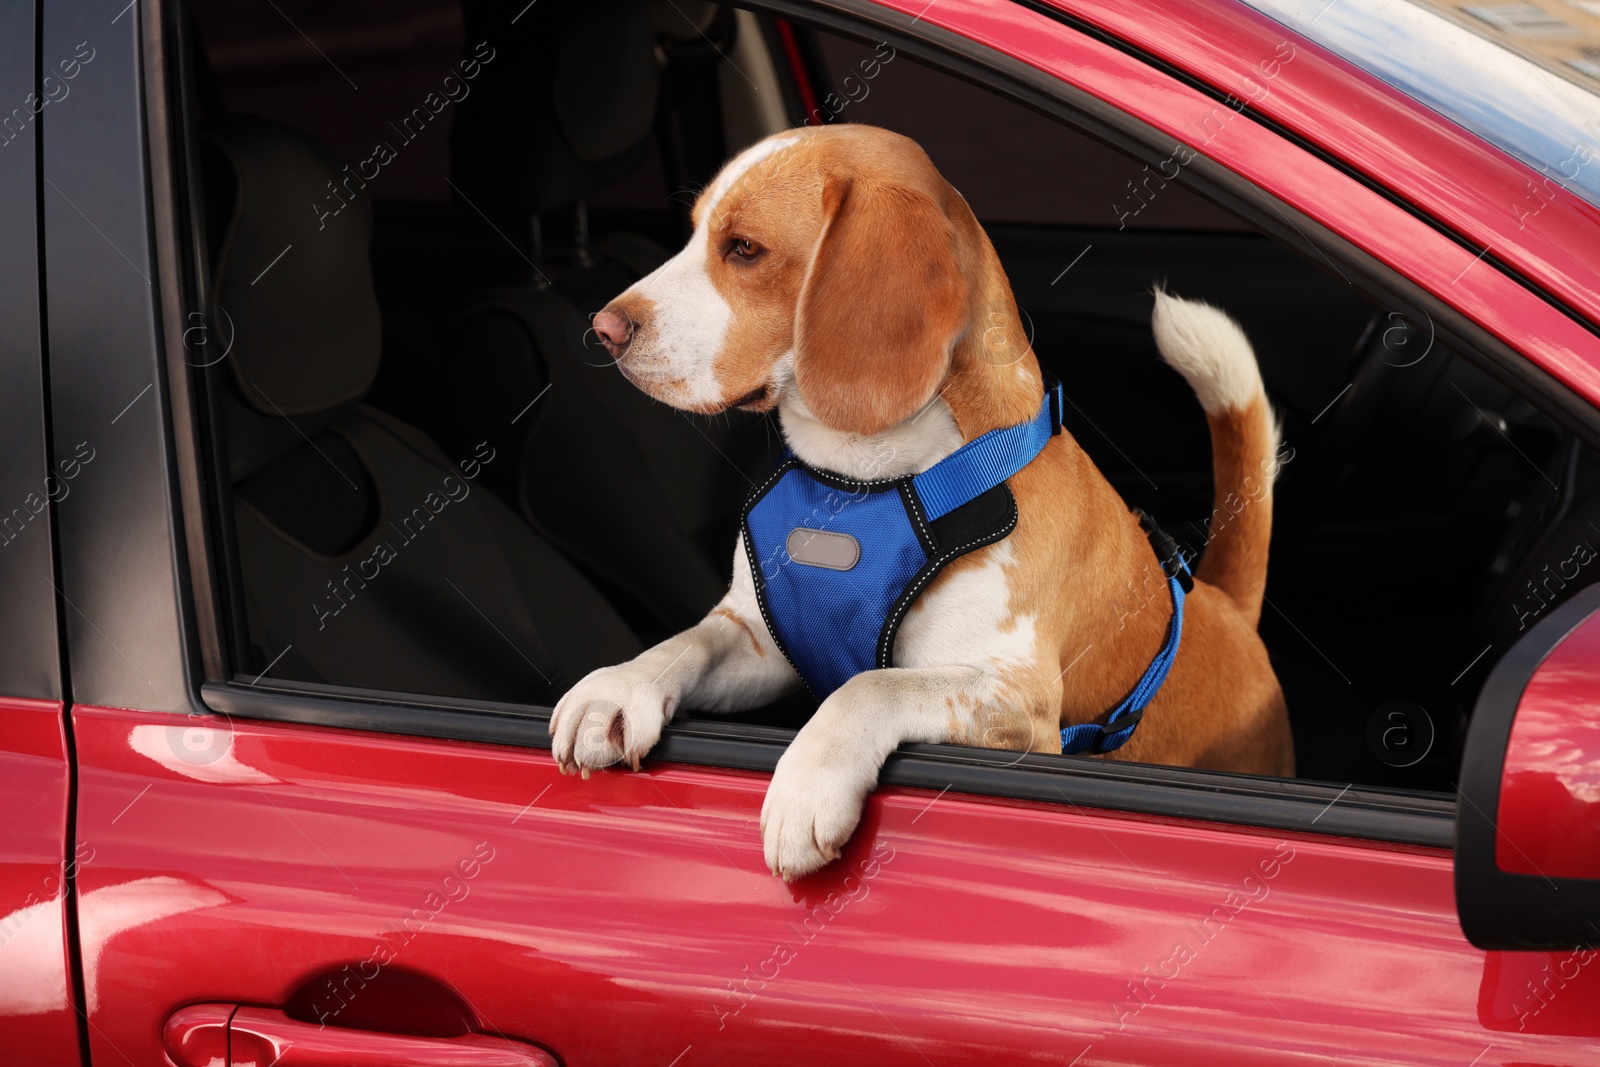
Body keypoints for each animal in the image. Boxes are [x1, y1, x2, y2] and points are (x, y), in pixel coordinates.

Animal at [556, 125, 1292, 883]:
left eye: (744, 249)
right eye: (695, 231)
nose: (604, 327)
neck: (861, 482)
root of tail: (1228, 609)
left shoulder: (1015, 698)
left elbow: (870, 685)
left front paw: (806, 785)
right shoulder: (760, 640)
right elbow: (687, 641)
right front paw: (618, 687)